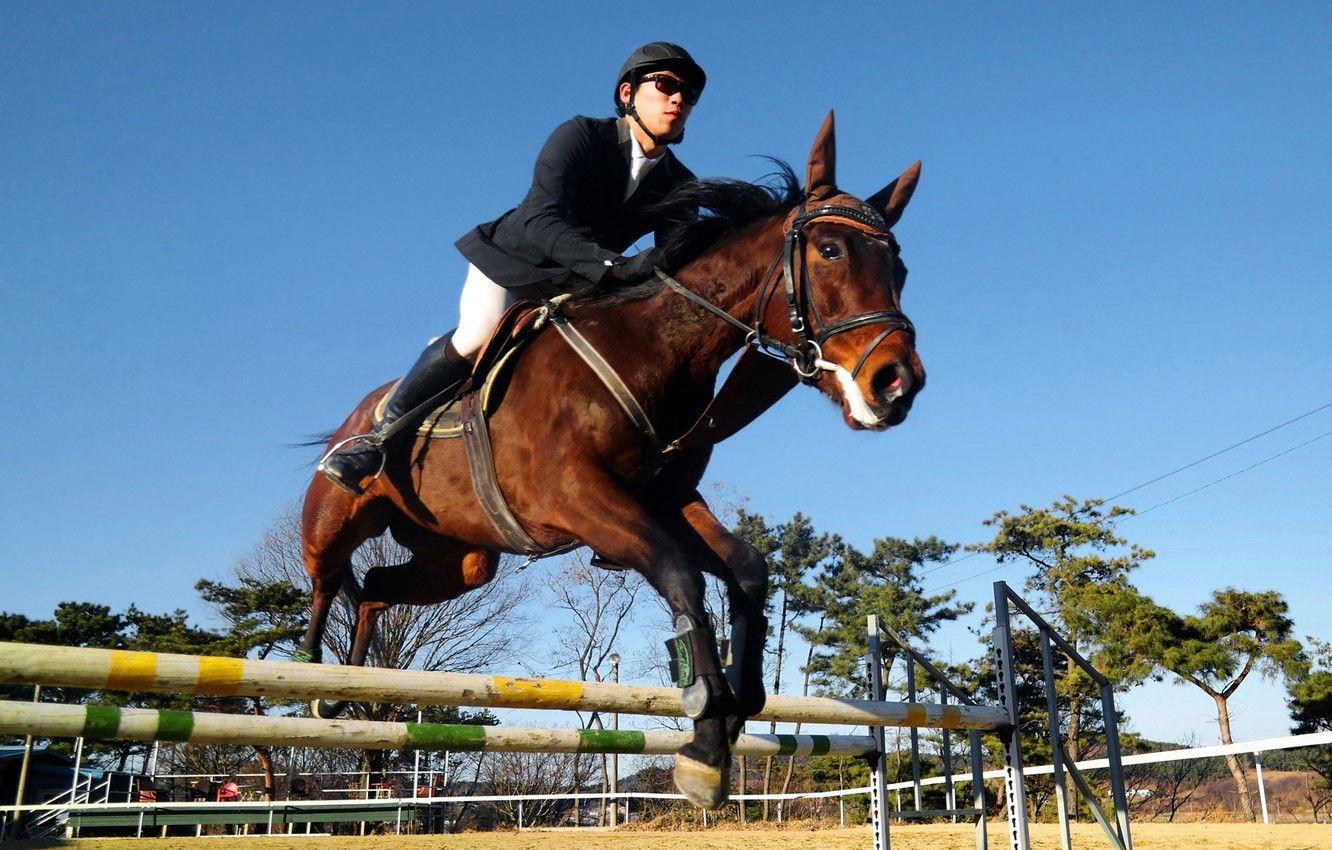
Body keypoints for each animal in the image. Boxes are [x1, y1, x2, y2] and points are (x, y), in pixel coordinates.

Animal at [297, 112, 926, 807]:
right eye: (831, 251)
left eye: (899, 266)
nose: (898, 385)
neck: (659, 345)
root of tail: (356, 413)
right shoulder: (575, 497)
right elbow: (681, 572)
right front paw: (706, 739)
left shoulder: (665, 499)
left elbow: (746, 569)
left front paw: (740, 705)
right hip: (335, 520)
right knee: (327, 579)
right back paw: (312, 677)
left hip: (460, 562)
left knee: (379, 589)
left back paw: (347, 694)